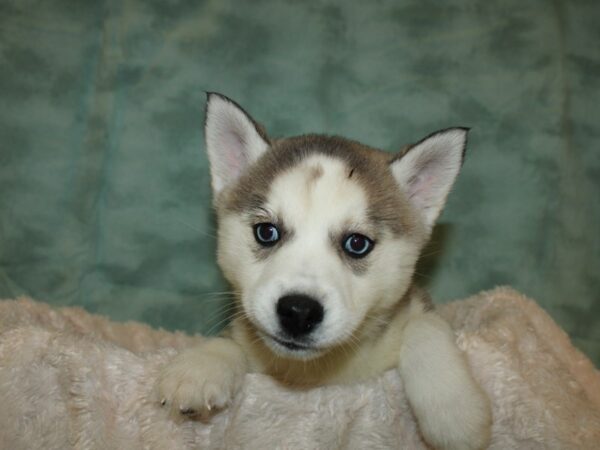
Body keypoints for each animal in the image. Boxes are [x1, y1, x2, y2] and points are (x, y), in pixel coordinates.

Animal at [159, 93, 492, 448]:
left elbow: (426, 326)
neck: (319, 373)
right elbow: (232, 341)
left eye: (357, 243)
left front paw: (456, 414)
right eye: (267, 232)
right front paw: (199, 368)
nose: (298, 311)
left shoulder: (416, 307)